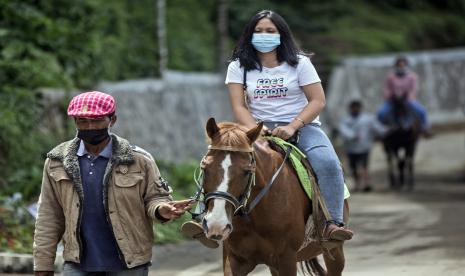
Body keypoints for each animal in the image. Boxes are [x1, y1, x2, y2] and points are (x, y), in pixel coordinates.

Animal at [199, 118, 348, 276]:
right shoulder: (234, 259)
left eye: (247, 171)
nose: (216, 224)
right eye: (205, 167)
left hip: (334, 251)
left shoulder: (287, 259)